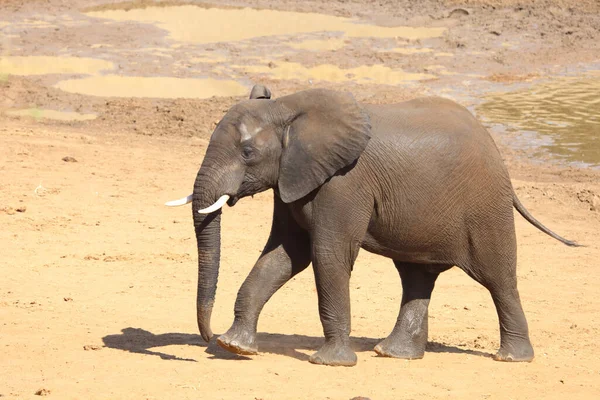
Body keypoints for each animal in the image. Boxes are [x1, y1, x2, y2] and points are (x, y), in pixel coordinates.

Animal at [166, 86, 580, 368]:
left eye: (248, 153)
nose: (207, 338)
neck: (289, 108)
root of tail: (497, 152)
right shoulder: (292, 177)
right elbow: (284, 255)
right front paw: (235, 346)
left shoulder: (344, 183)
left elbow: (327, 254)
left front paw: (329, 363)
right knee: (417, 277)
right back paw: (394, 354)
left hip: (486, 207)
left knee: (498, 278)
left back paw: (511, 358)